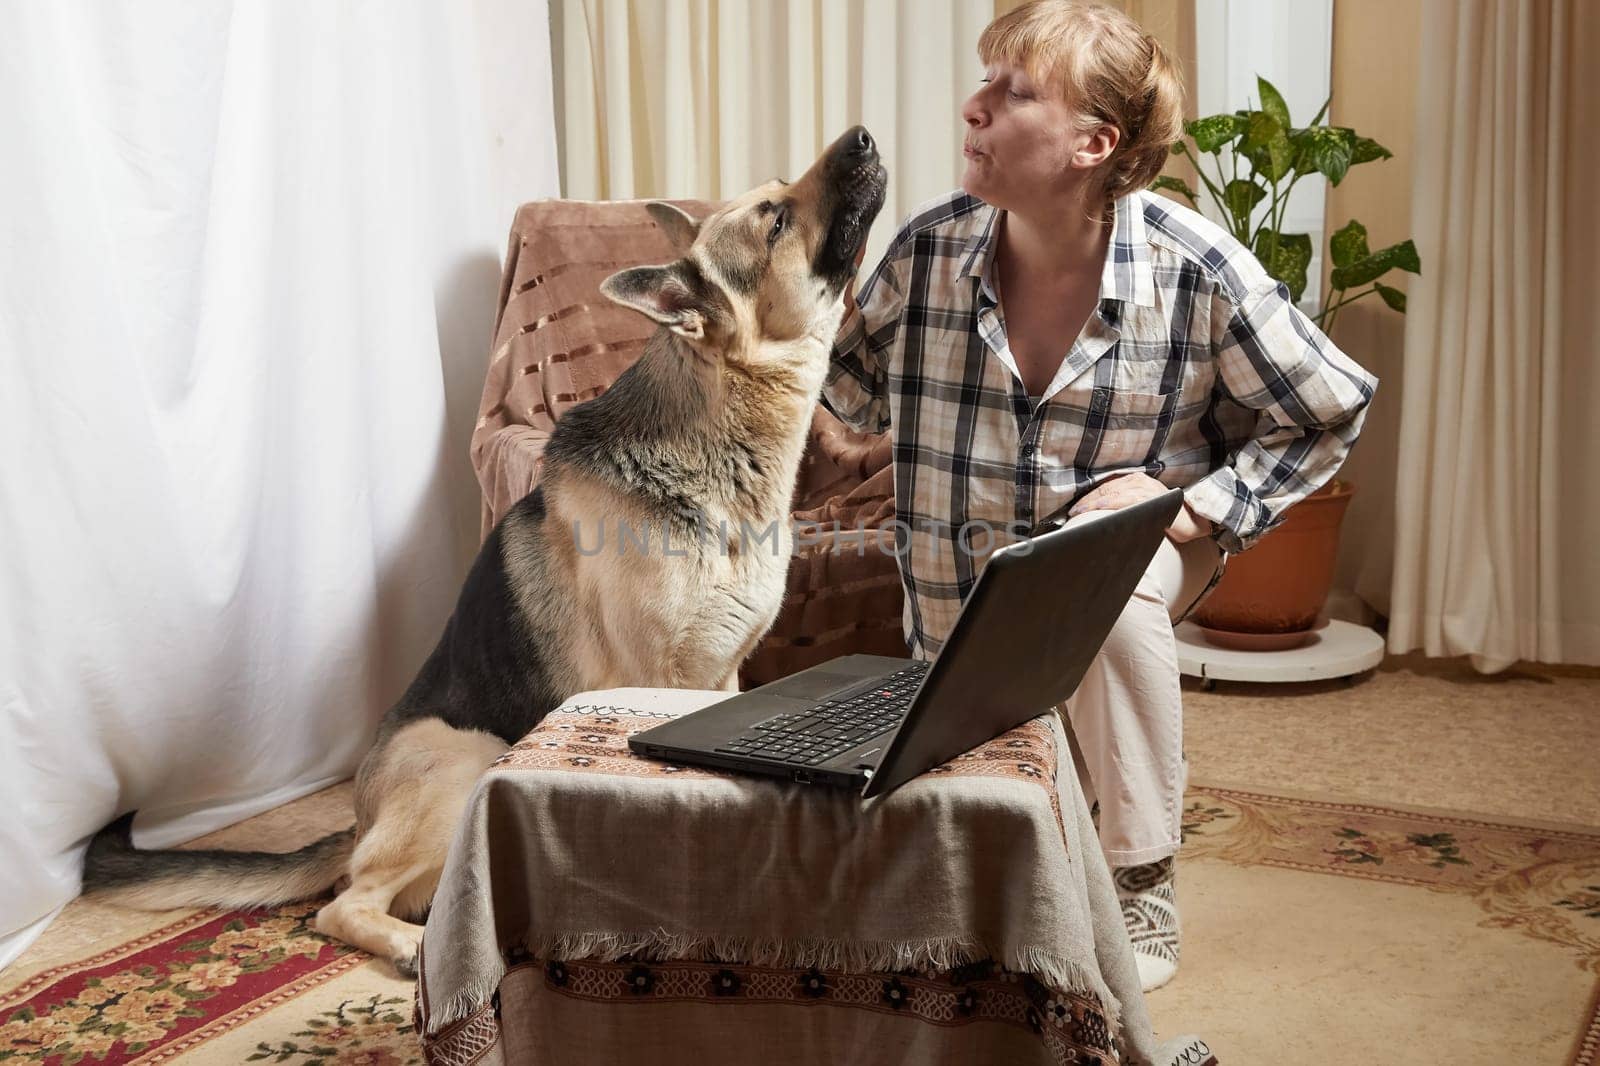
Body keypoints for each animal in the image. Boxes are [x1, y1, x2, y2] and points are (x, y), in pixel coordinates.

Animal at [84, 124, 889, 973]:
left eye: (780, 195)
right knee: (342, 903)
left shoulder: (727, 675)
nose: (864, 137)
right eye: (774, 220)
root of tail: (358, 811)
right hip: (467, 756)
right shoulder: (661, 683)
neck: (723, 434)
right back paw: (411, 949)